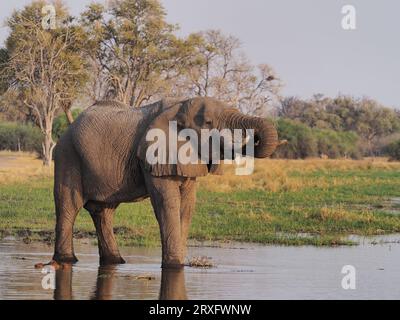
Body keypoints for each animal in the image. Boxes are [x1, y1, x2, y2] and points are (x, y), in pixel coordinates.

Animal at [52, 97, 278, 268]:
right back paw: (67, 260)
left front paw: (179, 264)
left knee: (104, 212)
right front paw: (174, 266)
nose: (254, 138)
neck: (179, 106)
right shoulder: (154, 154)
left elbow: (187, 205)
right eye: (207, 122)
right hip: (68, 155)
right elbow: (167, 203)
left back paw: (116, 262)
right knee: (69, 205)